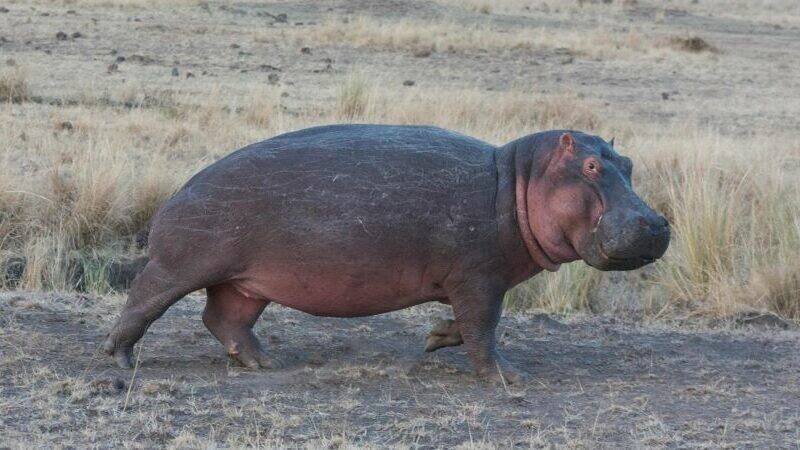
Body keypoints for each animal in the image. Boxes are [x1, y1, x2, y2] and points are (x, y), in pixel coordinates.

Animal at [103, 125, 669, 383]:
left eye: (630, 163)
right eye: (592, 167)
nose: (659, 223)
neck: (519, 182)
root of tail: (181, 188)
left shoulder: (474, 282)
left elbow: (467, 324)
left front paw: (435, 339)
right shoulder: (479, 278)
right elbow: (484, 329)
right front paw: (509, 378)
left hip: (248, 282)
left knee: (225, 318)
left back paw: (268, 362)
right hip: (182, 265)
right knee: (144, 299)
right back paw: (121, 359)